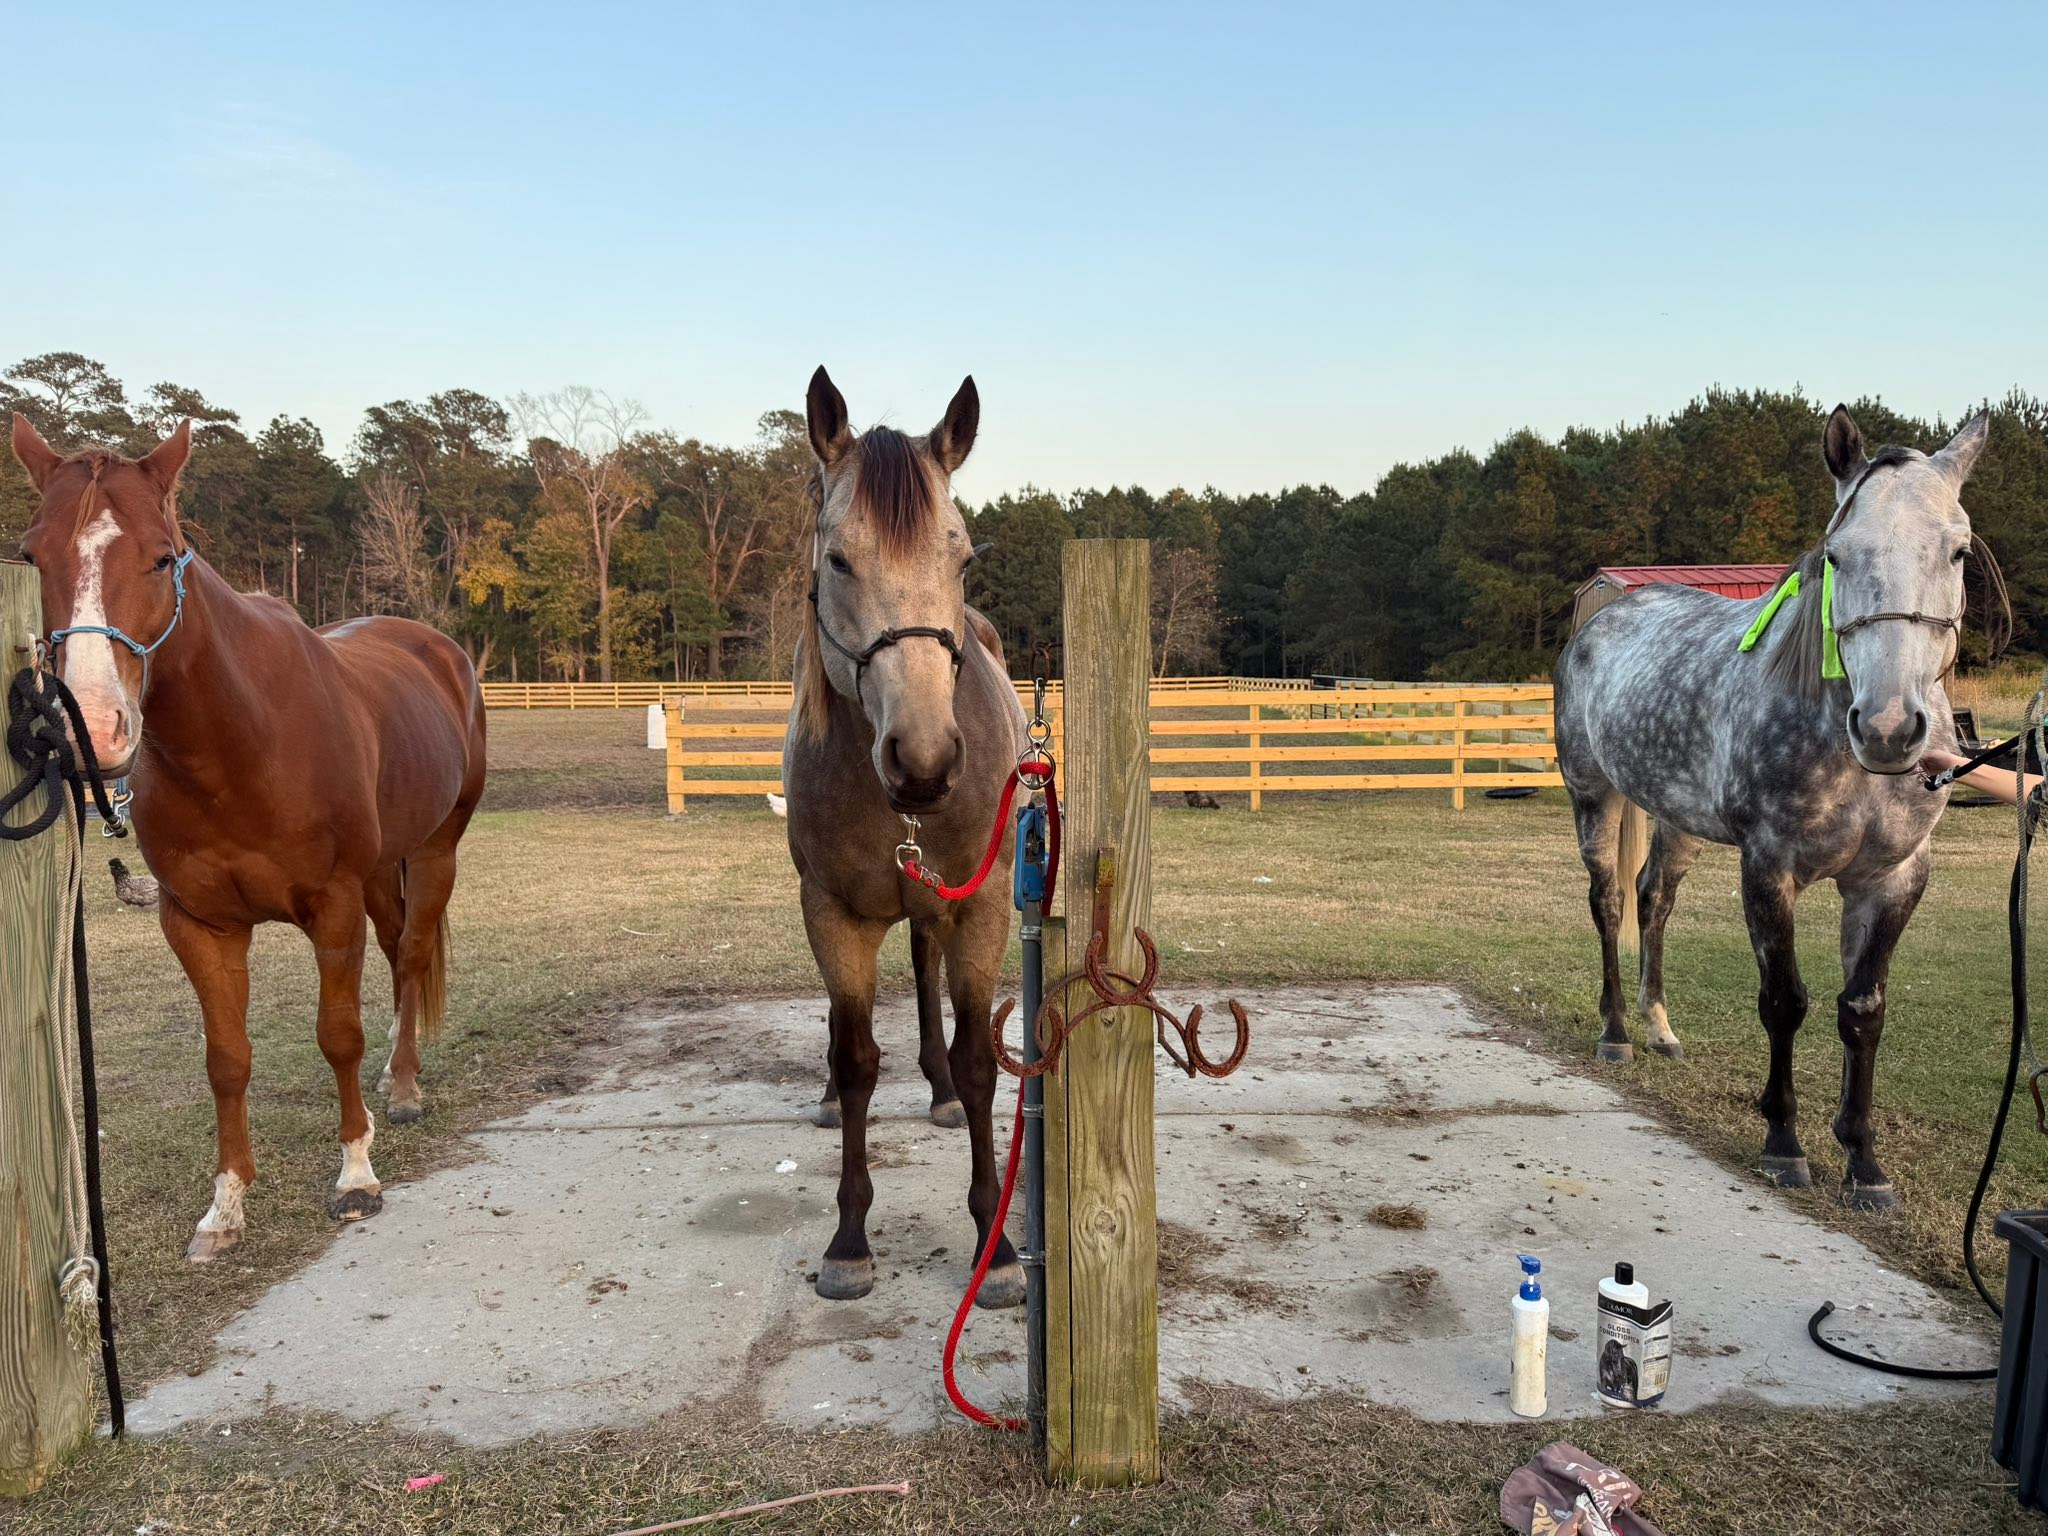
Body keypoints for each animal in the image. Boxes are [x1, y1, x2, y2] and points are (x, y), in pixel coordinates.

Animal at [10, 414, 488, 1260]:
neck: (239, 741)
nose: (91, 727)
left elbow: (338, 1034)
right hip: (380, 871)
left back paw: (401, 1088)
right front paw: (225, 1206)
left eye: (160, 556)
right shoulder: (198, 923)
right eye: (33, 556)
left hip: (435, 851)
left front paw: (356, 1175)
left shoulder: (331, 905)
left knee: (411, 955)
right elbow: (226, 1060)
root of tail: (439, 649)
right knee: (397, 950)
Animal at [781, 366, 1027, 1307]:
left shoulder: (980, 907)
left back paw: (938, 1088)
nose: (923, 760)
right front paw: (849, 1240)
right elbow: (855, 1061)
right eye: (838, 558)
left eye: (960, 556)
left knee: (926, 969)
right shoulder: (831, 913)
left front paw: (996, 1246)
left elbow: (980, 1060)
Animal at [1555, 404, 1993, 1209]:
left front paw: (1864, 1162)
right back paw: (1617, 1035)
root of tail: (1604, 616)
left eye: (1957, 552)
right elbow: (1785, 1000)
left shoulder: (1894, 880)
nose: (1888, 727)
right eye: (1837, 555)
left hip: (1677, 819)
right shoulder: (1769, 870)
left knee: (1653, 900)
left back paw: (1660, 1029)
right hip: (1593, 796)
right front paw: (1784, 1144)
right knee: (1608, 902)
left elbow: (1863, 1009)